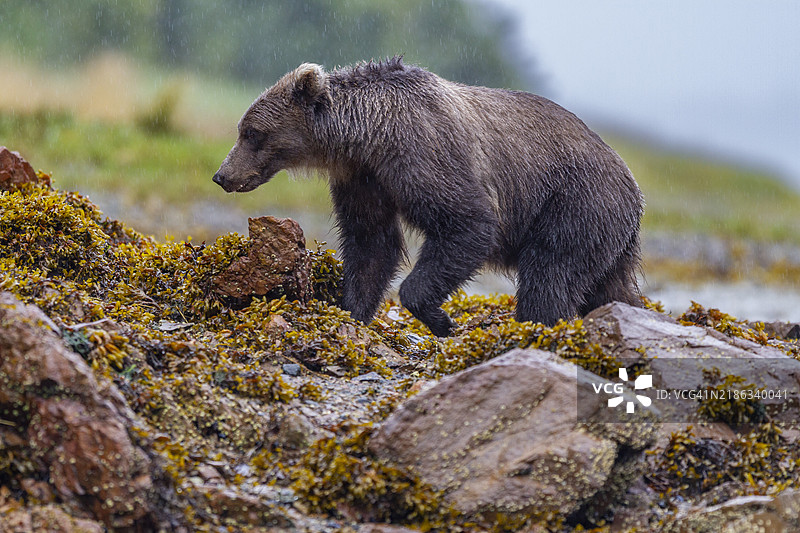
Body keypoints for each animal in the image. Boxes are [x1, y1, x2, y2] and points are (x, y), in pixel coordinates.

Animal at [213, 57, 643, 337]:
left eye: (251, 133)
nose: (222, 175)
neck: (367, 137)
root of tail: (632, 183)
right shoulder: (364, 178)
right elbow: (372, 242)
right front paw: (350, 309)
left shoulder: (423, 152)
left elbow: (467, 223)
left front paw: (441, 319)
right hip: (608, 236)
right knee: (608, 287)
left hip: (575, 202)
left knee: (550, 274)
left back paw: (535, 326)